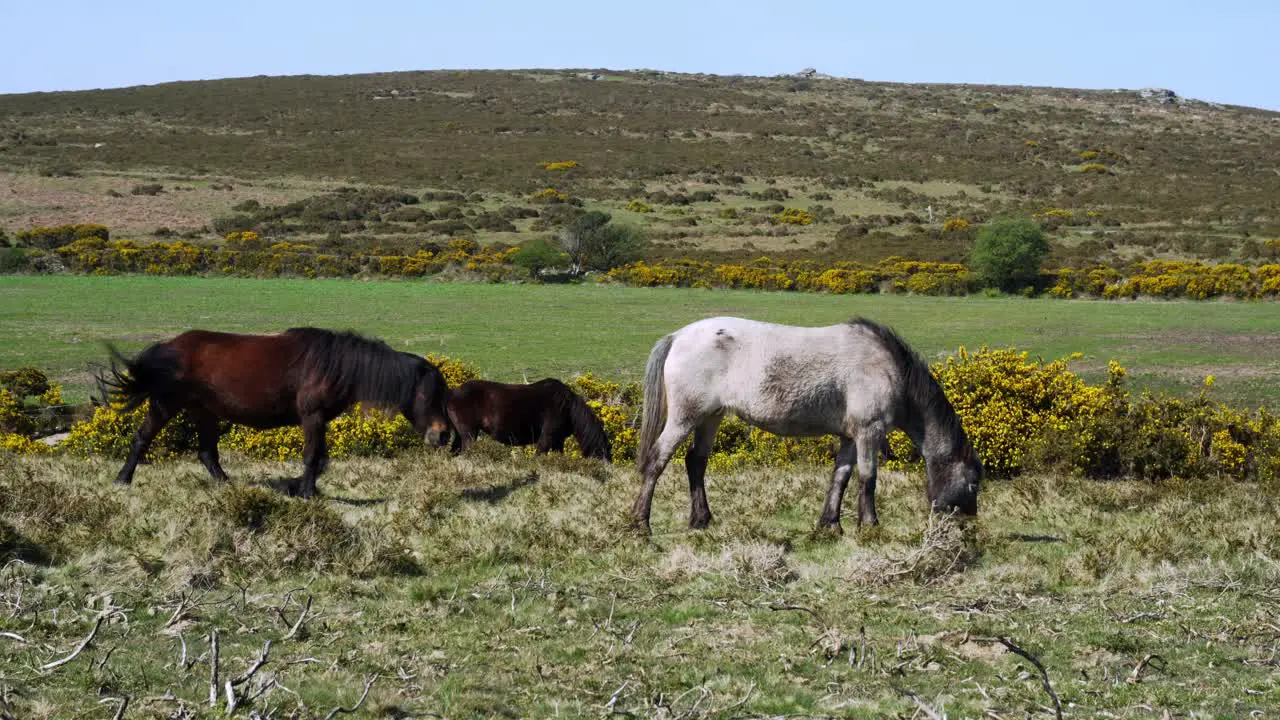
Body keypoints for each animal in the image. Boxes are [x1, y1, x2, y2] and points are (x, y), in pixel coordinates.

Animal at [97, 327, 453, 497]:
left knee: (207, 453)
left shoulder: (320, 420)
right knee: (142, 439)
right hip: (165, 404)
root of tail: (167, 348)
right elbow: (312, 456)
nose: (444, 435)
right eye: (430, 395)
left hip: (204, 411)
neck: (336, 366)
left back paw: (229, 486)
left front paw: (303, 488)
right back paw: (122, 480)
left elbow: (320, 459)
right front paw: (306, 492)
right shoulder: (312, 416)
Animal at [448, 376, 611, 458]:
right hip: (469, 435)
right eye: (602, 452)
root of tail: (452, 393)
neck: (567, 407)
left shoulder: (558, 441)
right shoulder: (546, 438)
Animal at [634, 315, 983, 532]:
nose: (969, 521)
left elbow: (841, 477)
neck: (889, 368)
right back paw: (640, 522)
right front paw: (870, 525)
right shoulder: (869, 432)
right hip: (685, 417)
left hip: (710, 417)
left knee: (696, 463)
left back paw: (701, 519)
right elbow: (868, 478)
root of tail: (678, 336)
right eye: (973, 483)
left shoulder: (850, 436)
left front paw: (831, 524)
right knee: (657, 460)